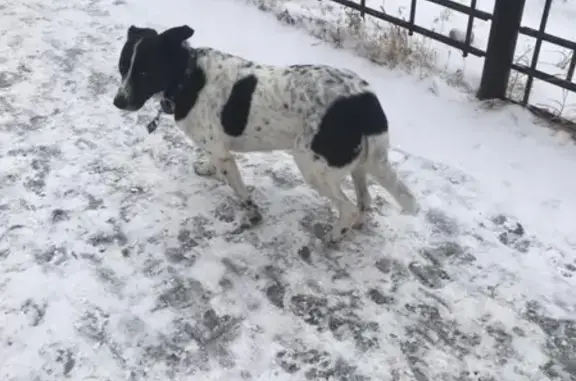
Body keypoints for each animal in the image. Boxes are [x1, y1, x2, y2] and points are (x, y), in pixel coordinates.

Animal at [112, 24, 418, 243]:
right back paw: (354, 227)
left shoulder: (224, 155)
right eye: (123, 67)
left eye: (145, 72)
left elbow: (240, 191)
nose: (117, 102)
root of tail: (365, 100)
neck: (186, 76)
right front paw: (207, 169)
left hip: (314, 168)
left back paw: (333, 237)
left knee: (349, 207)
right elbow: (213, 160)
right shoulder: (218, 148)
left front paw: (251, 213)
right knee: (364, 201)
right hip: (359, 162)